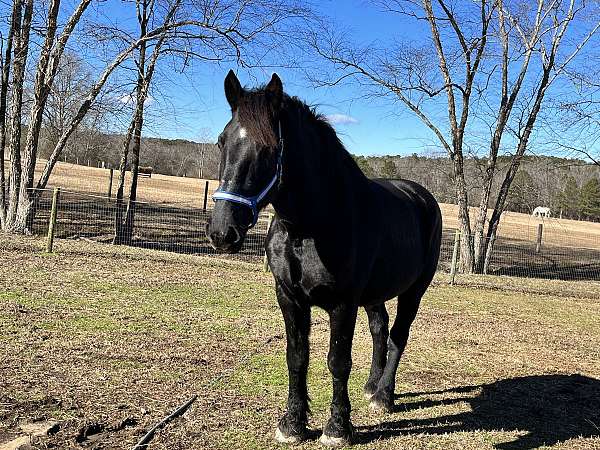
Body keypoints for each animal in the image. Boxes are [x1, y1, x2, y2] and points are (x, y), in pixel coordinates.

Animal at [206, 71, 440, 446]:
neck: (310, 228)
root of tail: (421, 195)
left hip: (414, 291)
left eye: (270, 147)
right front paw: (292, 424)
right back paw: (371, 386)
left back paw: (383, 396)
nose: (222, 232)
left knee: (398, 335)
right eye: (221, 141)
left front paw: (337, 428)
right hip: (373, 295)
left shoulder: (343, 304)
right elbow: (297, 358)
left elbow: (337, 361)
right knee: (380, 329)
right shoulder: (289, 298)